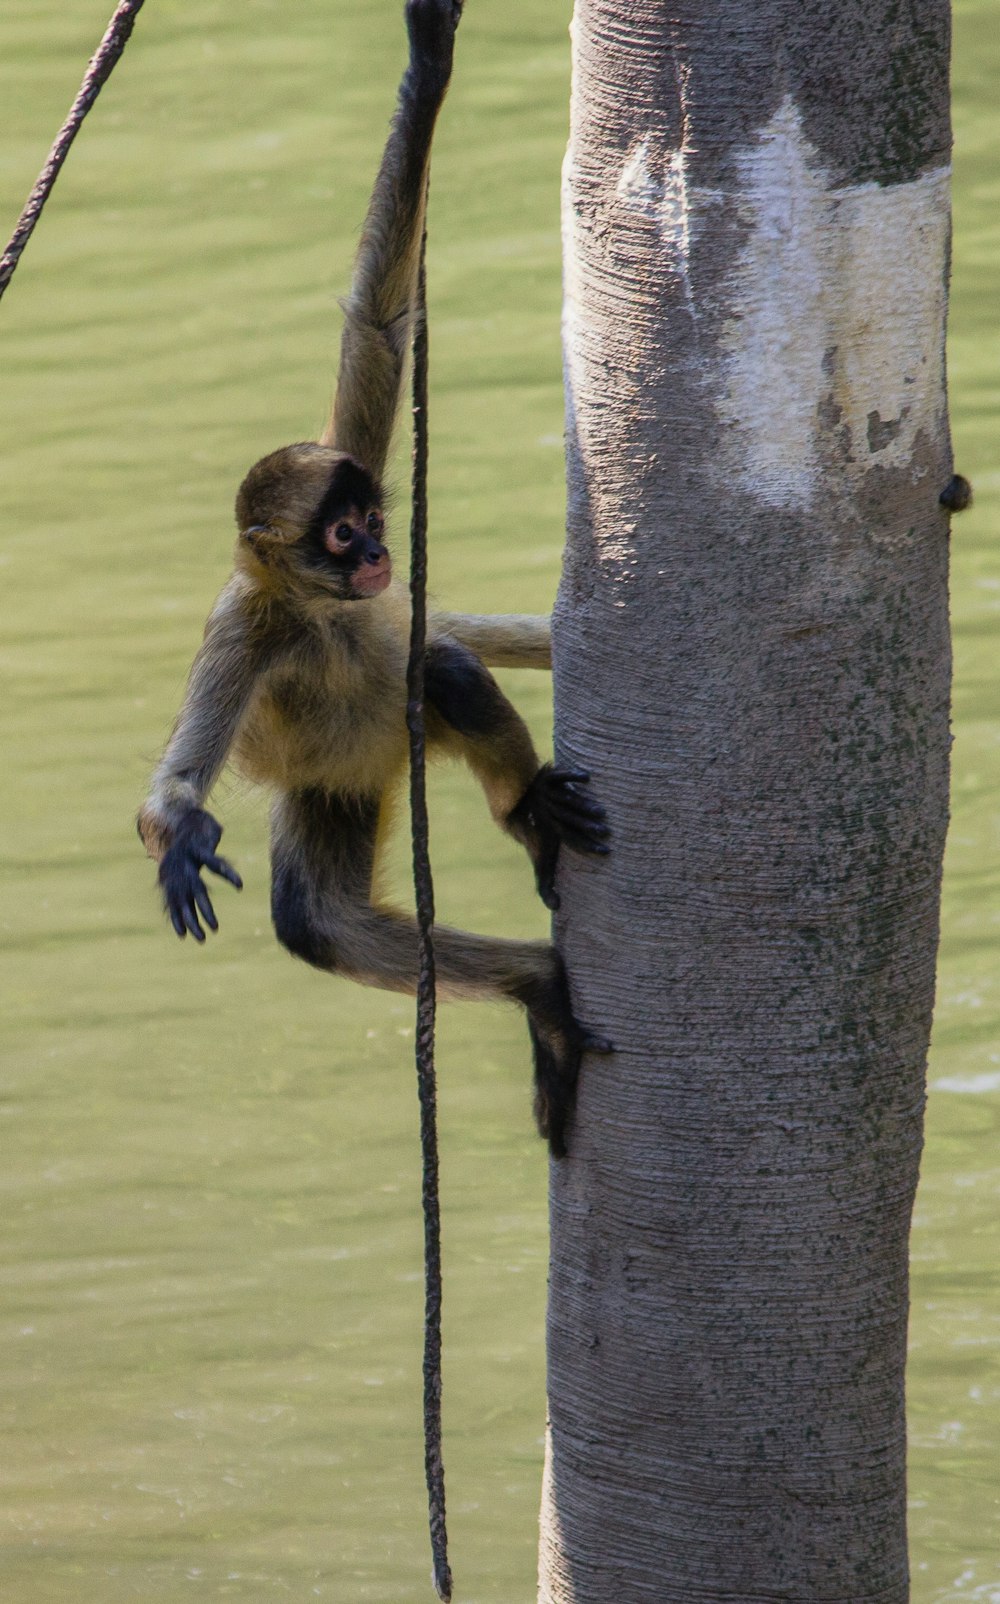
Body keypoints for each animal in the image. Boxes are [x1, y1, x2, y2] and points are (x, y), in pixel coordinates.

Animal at [138, 0, 609, 1161]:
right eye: (342, 533)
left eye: (373, 525)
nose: (381, 556)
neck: (321, 613)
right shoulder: (246, 626)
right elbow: (179, 780)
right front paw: (179, 832)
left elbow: (379, 321)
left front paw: (428, 67)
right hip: (339, 781)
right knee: (317, 922)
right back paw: (540, 986)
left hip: (389, 739)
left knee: (442, 667)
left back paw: (525, 813)